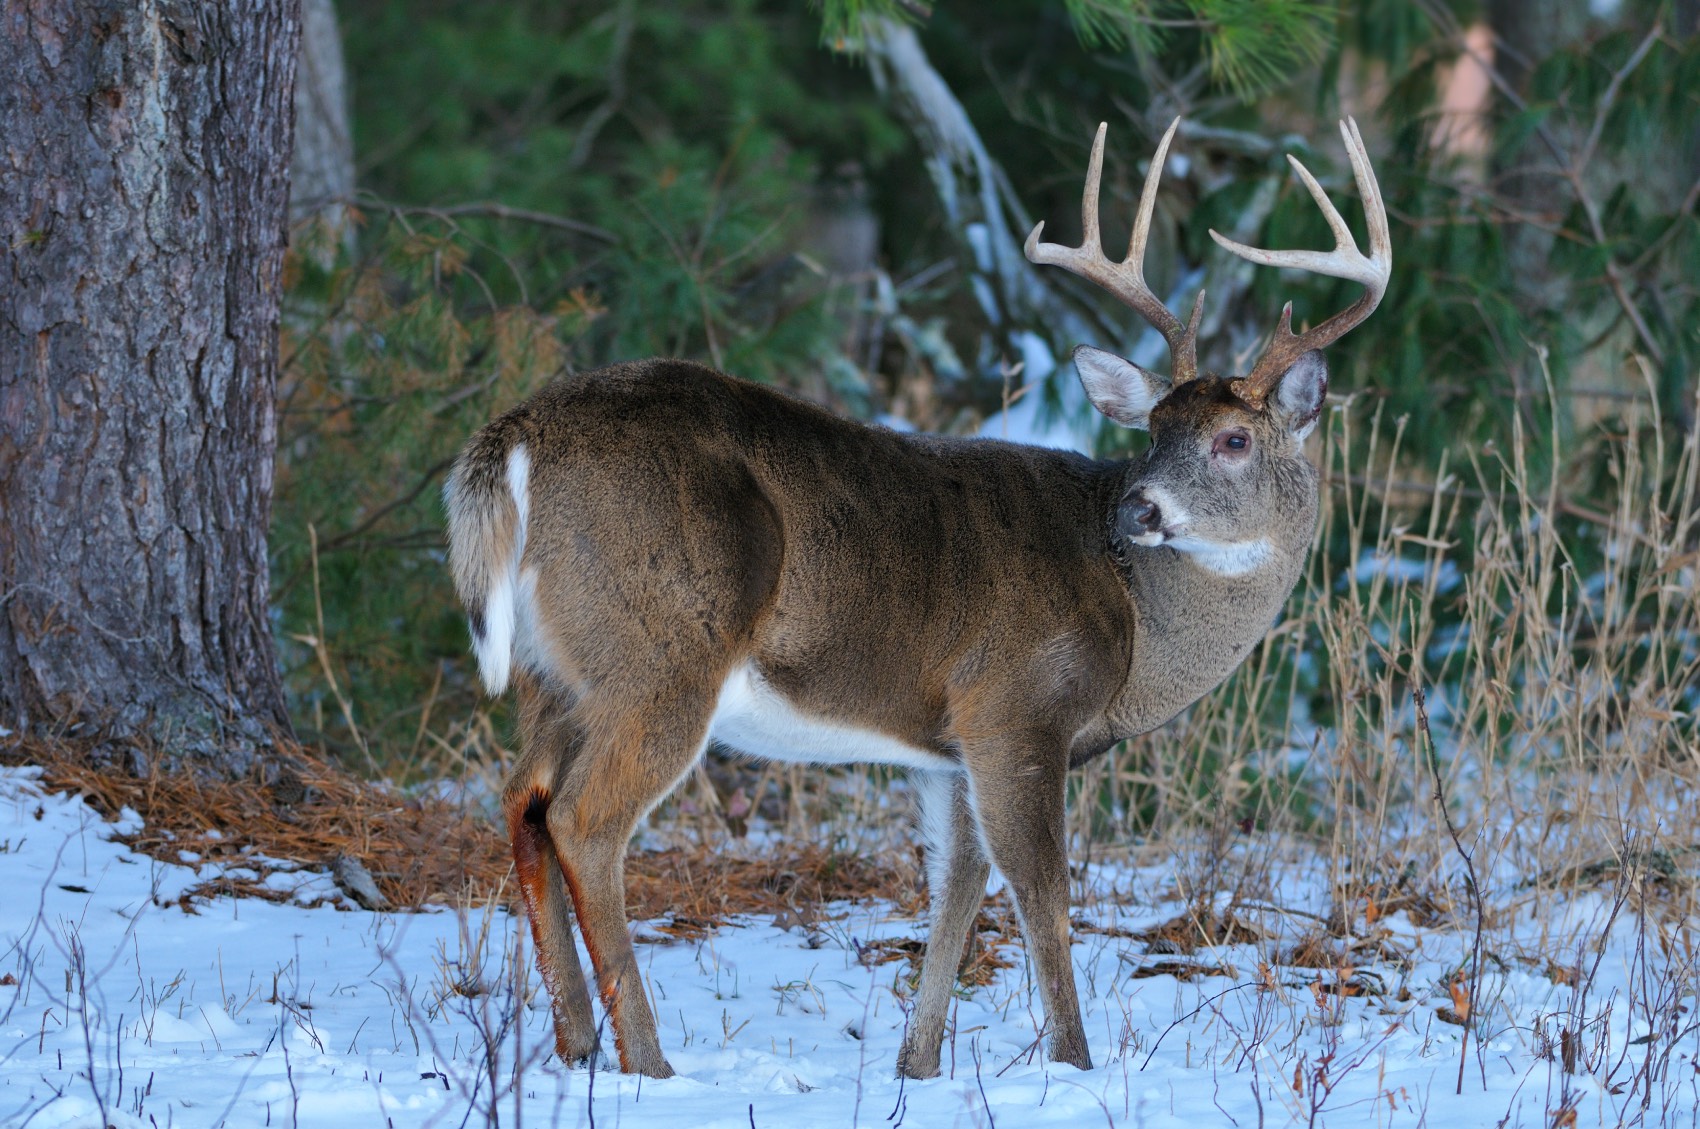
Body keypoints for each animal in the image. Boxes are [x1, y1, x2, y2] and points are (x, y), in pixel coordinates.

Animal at [445, 119, 1387, 1081]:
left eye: (1233, 439)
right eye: (1155, 431)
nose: (1141, 507)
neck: (1135, 618)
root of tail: (519, 435)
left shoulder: (949, 745)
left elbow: (956, 891)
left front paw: (918, 1065)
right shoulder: (1016, 704)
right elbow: (1042, 891)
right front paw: (1075, 1064)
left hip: (556, 671)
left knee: (522, 798)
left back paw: (575, 1044)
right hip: (664, 651)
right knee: (585, 818)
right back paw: (649, 1062)